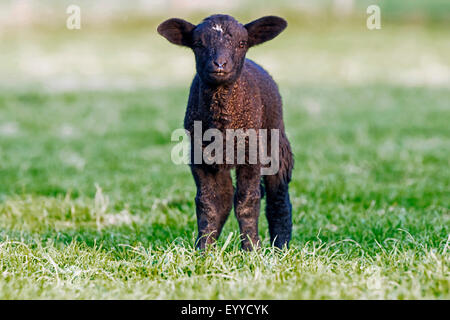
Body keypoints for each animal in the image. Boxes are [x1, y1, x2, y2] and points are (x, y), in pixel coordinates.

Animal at [158, 14, 296, 250]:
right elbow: (211, 203)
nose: (220, 64)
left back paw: (281, 247)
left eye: (242, 43)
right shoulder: (201, 157)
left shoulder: (251, 152)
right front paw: (203, 250)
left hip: (275, 140)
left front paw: (251, 249)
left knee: (278, 195)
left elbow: (247, 201)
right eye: (198, 44)